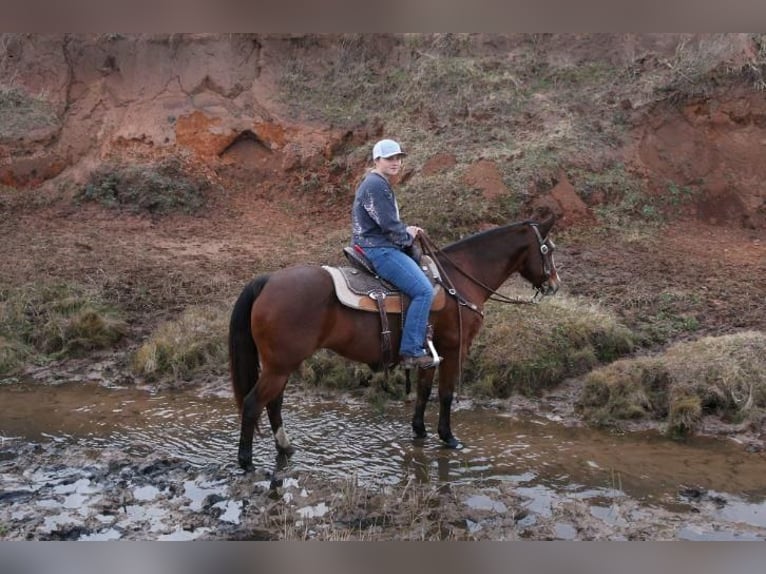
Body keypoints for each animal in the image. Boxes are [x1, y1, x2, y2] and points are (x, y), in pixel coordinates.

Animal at [231, 214, 560, 470]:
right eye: (548, 249)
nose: (555, 285)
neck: (458, 280)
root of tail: (268, 280)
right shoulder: (455, 348)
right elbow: (445, 394)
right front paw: (448, 437)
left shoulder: (429, 351)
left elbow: (424, 391)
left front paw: (420, 431)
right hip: (279, 365)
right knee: (253, 404)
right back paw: (246, 462)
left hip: (281, 365)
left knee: (273, 403)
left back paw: (285, 448)